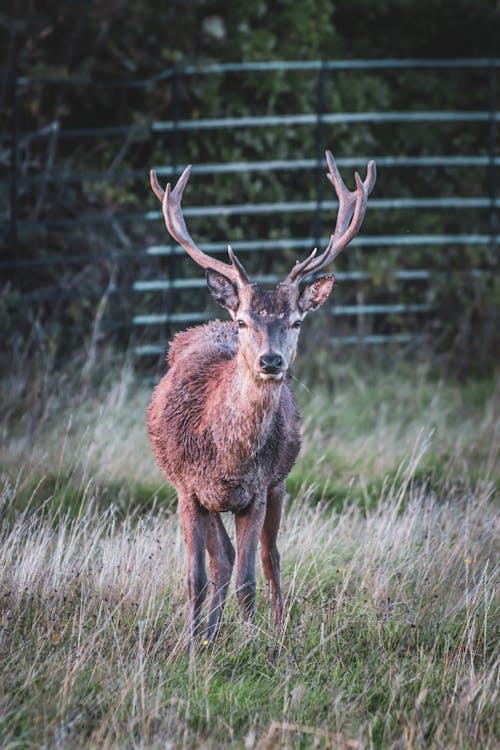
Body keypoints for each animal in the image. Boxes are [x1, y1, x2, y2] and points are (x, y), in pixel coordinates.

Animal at [146, 150, 374, 644]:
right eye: (245, 321)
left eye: (296, 321)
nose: (271, 361)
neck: (227, 460)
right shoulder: (187, 489)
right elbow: (196, 576)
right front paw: (190, 644)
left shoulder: (257, 490)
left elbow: (249, 577)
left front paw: (254, 641)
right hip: (207, 498)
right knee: (222, 559)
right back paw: (209, 634)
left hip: (280, 483)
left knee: (268, 558)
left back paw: (273, 628)